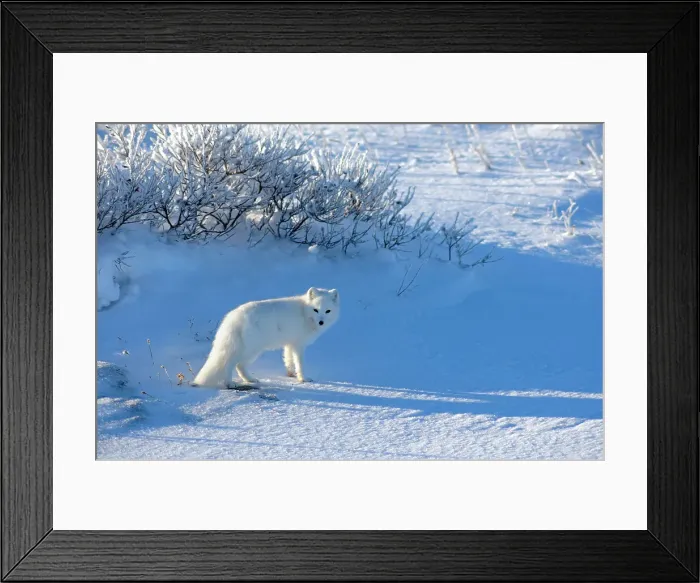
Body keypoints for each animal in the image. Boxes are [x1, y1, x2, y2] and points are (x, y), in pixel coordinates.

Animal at [193, 287, 340, 387]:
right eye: (316, 310)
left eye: (328, 311)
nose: (321, 322)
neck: (305, 313)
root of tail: (234, 317)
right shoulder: (299, 345)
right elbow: (299, 363)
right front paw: (302, 378)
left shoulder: (289, 344)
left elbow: (288, 360)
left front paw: (291, 375)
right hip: (251, 349)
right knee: (232, 364)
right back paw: (230, 383)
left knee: (238, 365)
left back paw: (249, 379)